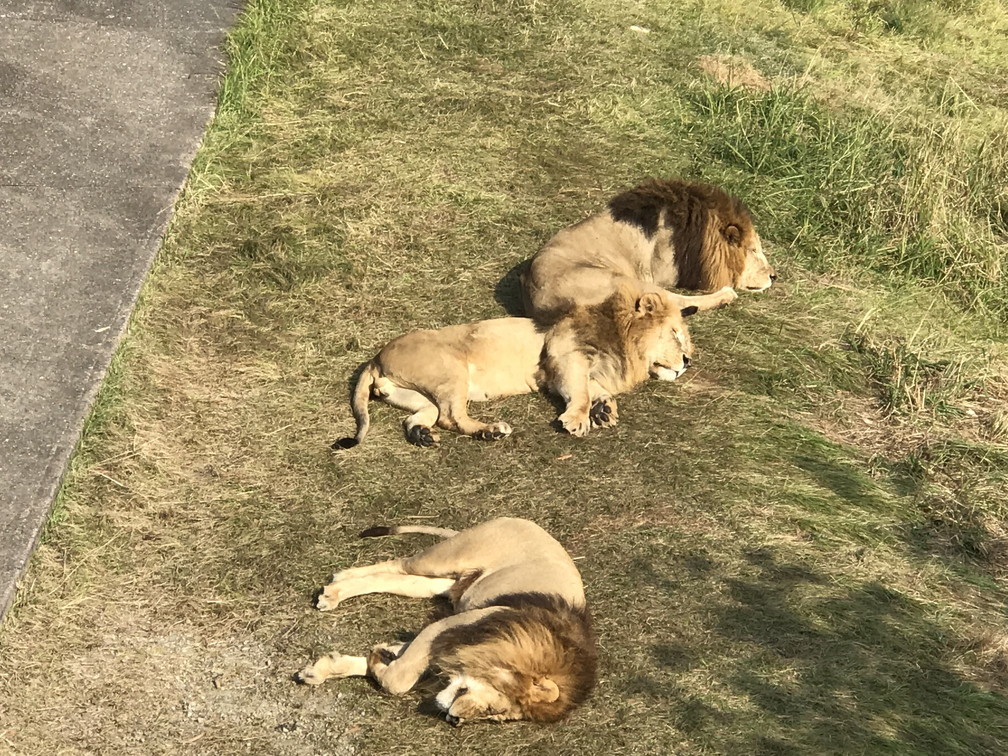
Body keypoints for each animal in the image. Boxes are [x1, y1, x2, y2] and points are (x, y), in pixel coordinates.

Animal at [294, 520, 592, 725]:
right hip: (444, 559)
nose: (455, 720)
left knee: (396, 578)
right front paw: (377, 661)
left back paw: (337, 590)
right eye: (492, 710)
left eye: (493, 718)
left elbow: (394, 660)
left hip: (441, 584)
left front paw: (327, 668)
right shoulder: (453, 625)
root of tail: (530, 523)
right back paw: (338, 581)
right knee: (399, 563)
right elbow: (398, 680)